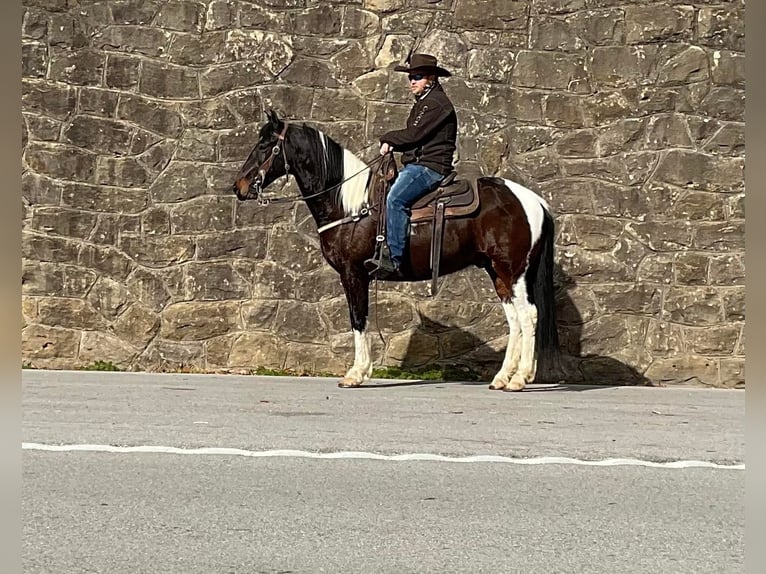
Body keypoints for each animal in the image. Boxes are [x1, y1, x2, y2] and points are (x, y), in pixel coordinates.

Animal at [231, 109, 560, 392]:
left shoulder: (353, 273)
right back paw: (502, 377)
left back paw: (519, 378)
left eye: (265, 144)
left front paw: (356, 373)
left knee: (528, 315)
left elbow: (358, 318)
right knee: (515, 319)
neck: (351, 205)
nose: (239, 186)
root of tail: (534, 201)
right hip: (498, 273)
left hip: (512, 270)